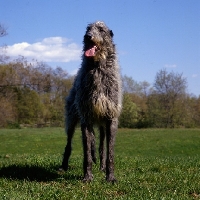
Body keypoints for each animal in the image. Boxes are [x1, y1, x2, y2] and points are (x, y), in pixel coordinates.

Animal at [60, 21, 122, 182]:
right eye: (88, 29)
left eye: (101, 29)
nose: (88, 37)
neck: (98, 67)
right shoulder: (86, 118)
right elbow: (87, 152)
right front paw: (87, 177)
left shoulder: (111, 118)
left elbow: (109, 152)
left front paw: (110, 176)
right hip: (72, 118)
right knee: (68, 143)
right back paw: (63, 166)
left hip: (102, 125)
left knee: (101, 147)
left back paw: (102, 167)